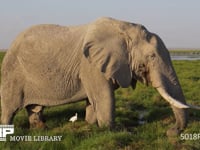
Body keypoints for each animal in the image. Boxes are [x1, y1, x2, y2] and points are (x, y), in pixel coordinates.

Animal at [0, 17, 198, 136]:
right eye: (152, 57)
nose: (171, 131)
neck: (125, 28)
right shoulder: (91, 66)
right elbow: (104, 96)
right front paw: (115, 130)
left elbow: (93, 99)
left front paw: (91, 124)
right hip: (12, 72)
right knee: (10, 108)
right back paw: (8, 131)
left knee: (35, 107)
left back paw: (41, 129)